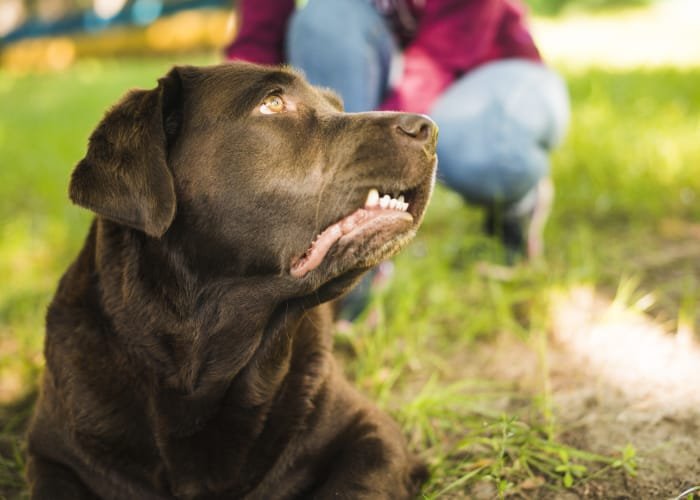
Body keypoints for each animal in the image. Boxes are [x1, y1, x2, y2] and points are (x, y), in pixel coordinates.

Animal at [26, 62, 438, 500]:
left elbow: (352, 488)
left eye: (336, 106)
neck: (205, 371)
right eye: (272, 102)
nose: (427, 128)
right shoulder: (54, 455)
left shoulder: (373, 432)